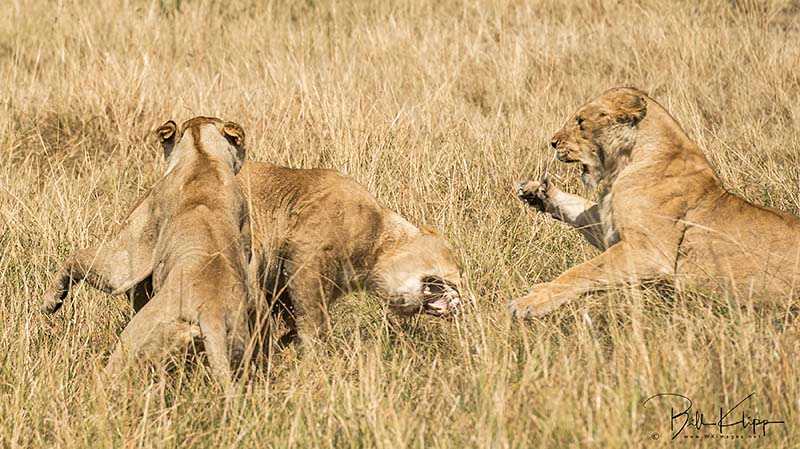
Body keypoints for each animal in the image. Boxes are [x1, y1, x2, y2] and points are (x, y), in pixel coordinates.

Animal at [41, 114, 253, 382]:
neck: (202, 154)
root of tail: (211, 311)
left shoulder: (131, 251)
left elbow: (78, 259)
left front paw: (51, 301)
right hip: (236, 345)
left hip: (135, 338)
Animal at [510, 87, 800, 316]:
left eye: (581, 120)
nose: (553, 142)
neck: (627, 162)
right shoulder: (614, 230)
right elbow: (580, 211)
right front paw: (536, 191)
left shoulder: (649, 251)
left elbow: (584, 271)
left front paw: (530, 302)